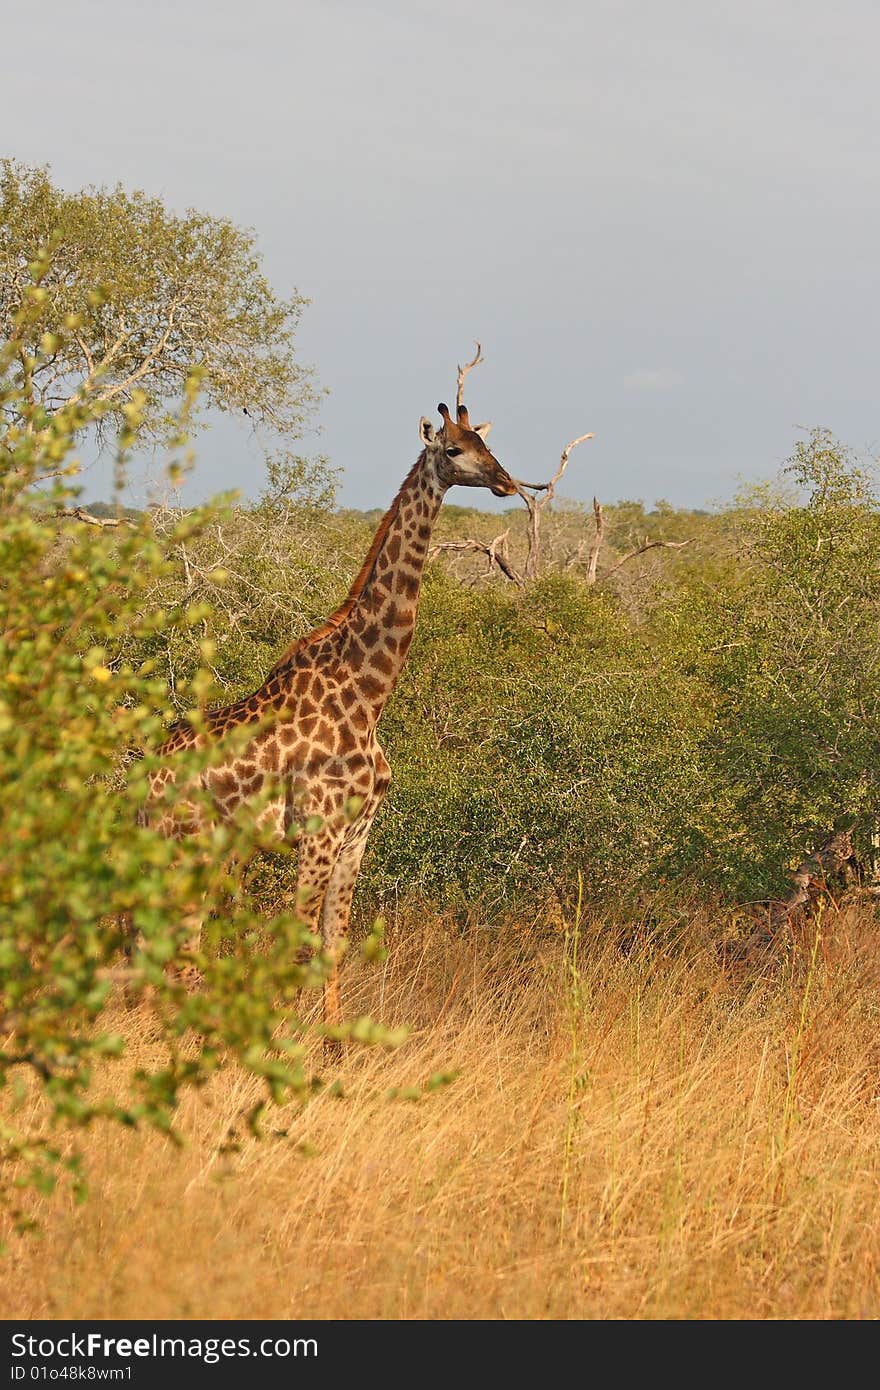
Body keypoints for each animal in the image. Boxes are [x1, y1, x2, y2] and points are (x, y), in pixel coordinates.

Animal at [140, 400, 517, 1034]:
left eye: (487, 445)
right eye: (453, 450)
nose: (507, 482)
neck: (368, 693)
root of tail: (138, 780)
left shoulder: (356, 835)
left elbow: (332, 943)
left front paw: (333, 1042)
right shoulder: (317, 832)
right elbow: (293, 940)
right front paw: (283, 1037)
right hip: (183, 846)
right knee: (174, 940)